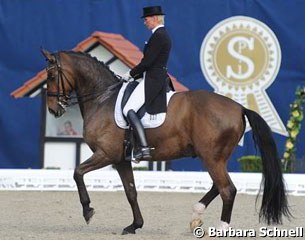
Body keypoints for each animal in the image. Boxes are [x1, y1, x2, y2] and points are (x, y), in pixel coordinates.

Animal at [41, 49, 290, 234]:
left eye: (51, 76)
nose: (53, 109)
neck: (103, 98)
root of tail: (239, 107)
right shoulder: (121, 160)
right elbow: (131, 192)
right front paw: (135, 225)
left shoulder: (106, 154)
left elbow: (77, 173)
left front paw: (87, 211)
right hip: (215, 157)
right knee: (218, 186)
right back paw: (196, 216)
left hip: (212, 157)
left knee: (227, 189)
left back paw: (221, 228)